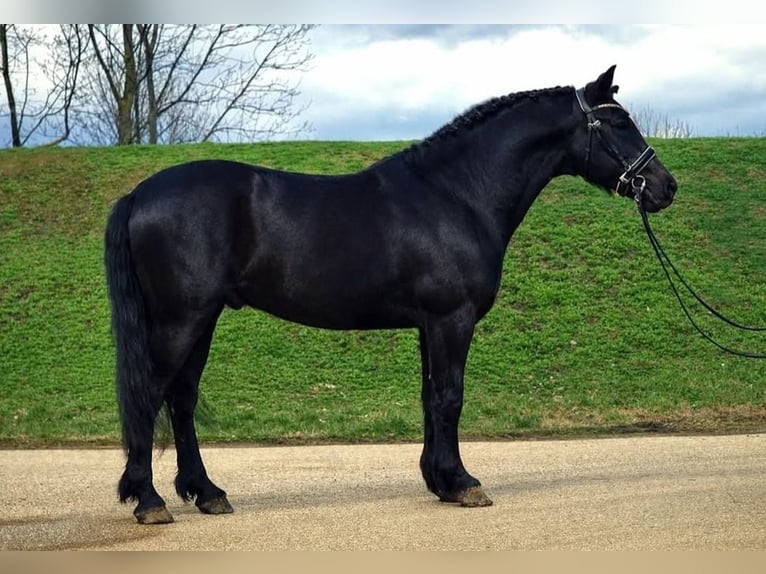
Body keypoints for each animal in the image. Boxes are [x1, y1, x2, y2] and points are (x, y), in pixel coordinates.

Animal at [104, 65, 677, 524]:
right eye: (619, 123)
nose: (664, 186)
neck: (457, 194)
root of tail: (139, 194)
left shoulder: (429, 324)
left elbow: (430, 397)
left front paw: (440, 481)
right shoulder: (451, 319)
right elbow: (450, 397)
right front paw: (463, 483)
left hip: (201, 319)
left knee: (181, 399)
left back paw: (206, 493)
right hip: (181, 319)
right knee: (150, 395)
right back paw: (150, 501)